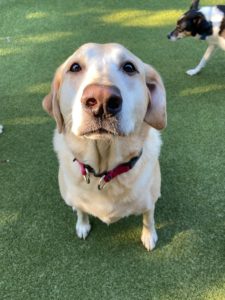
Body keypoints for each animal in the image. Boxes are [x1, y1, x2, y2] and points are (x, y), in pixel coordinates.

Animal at [42, 43, 166, 251]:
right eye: (75, 67)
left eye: (129, 67)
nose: (101, 100)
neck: (104, 171)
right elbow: (81, 210)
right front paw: (82, 224)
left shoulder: (149, 203)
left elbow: (148, 218)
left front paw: (149, 236)